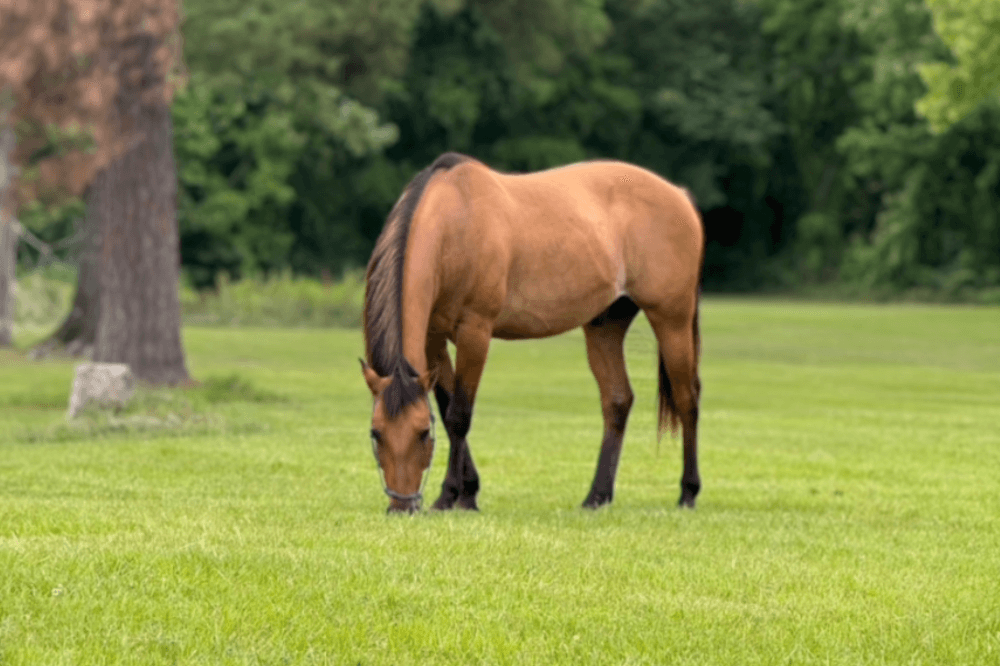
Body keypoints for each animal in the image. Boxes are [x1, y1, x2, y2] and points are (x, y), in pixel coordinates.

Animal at [361, 152, 703, 513]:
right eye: (376, 433)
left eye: (423, 433)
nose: (402, 506)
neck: (455, 223)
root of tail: (678, 195)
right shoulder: (433, 338)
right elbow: (446, 404)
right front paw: (465, 491)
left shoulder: (475, 332)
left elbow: (458, 415)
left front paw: (453, 496)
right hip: (605, 326)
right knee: (617, 401)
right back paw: (597, 496)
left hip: (671, 319)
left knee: (687, 398)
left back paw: (688, 492)